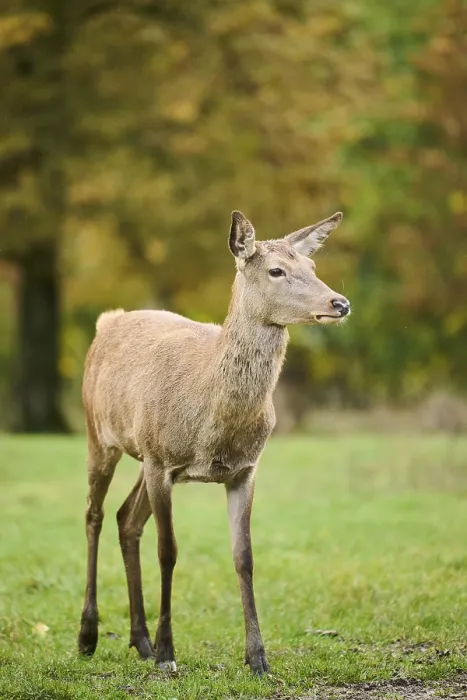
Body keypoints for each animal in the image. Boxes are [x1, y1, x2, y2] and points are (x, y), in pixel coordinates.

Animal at [77, 210, 350, 677]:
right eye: (276, 270)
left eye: (313, 265)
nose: (340, 303)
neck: (213, 423)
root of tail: (107, 321)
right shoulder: (162, 461)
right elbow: (168, 551)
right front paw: (169, 654)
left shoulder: (244, 470)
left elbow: (245, 557)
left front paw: (258, 658)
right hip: (102, 435)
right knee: (94, 514)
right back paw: (89, 636)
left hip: (142, 455)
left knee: (126, 518)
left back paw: (140, 641)